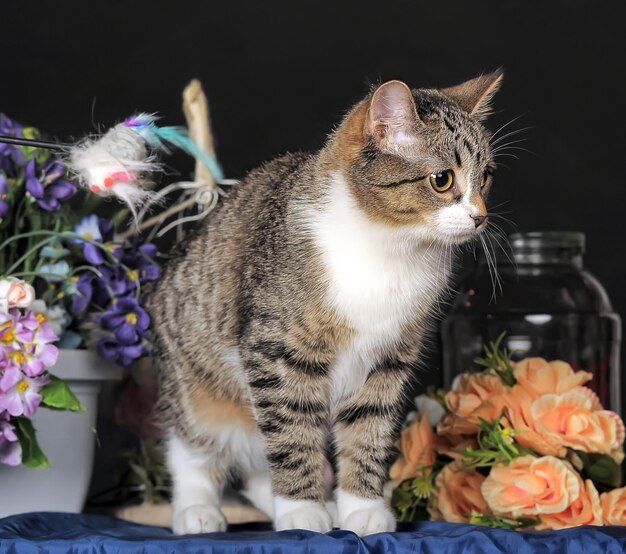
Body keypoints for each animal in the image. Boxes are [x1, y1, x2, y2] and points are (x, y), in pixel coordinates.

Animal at [149, 70, 504, 536]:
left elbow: (368, 431)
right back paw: (197, 509)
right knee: (196, 448)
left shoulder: (389, 359)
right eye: (442, 179)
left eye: (487, 177)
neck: (389, 247)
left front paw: (361, 507)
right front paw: (300, 510)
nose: (480, 217)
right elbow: (291, 430)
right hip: (195, 383)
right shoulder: (278, 351)